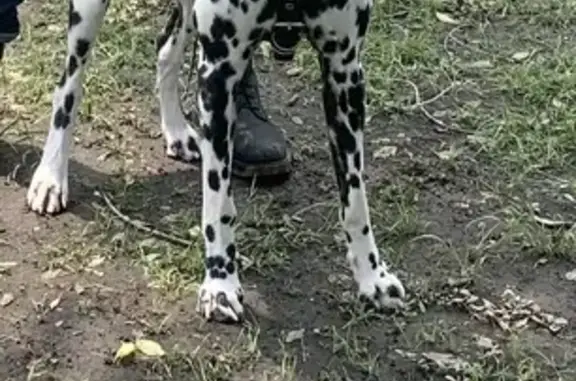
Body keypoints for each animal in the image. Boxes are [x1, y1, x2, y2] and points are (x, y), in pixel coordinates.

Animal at [25, 0, 404, 320]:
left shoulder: (345, 72)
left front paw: (372, 276)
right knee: (68, 86)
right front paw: (220, 283)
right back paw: (51, 175)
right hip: (86, 18)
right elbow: (218, 203)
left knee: (165, 49)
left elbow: (355, 200)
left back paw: (176, 129)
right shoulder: (219, 77)